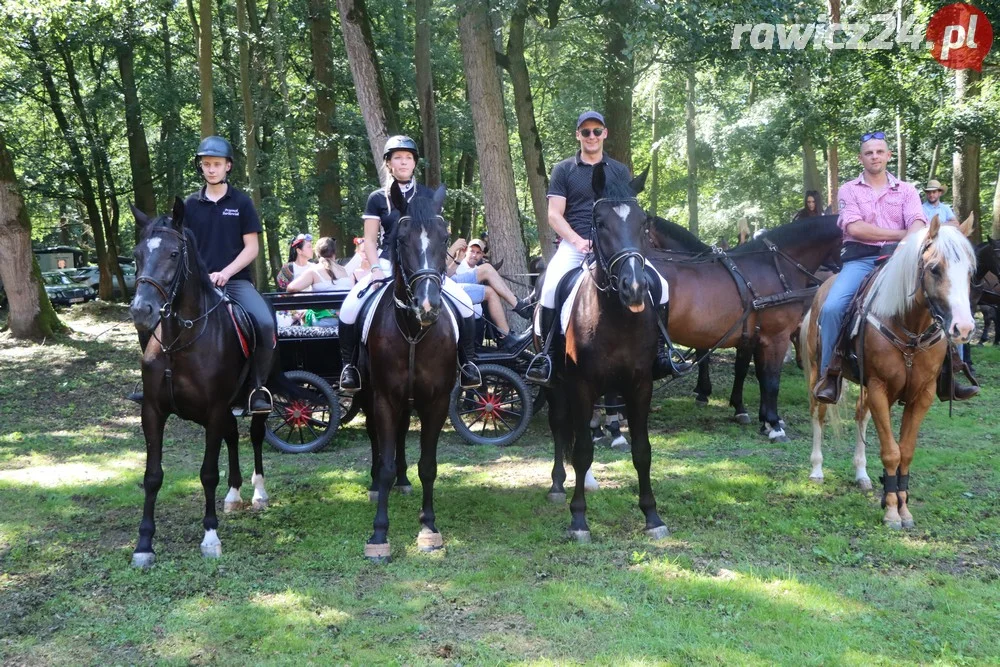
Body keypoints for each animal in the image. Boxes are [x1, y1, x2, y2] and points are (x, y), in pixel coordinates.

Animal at [127, 200, 282, 568]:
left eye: (173, 254)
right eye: (137, 254)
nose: (141, 311)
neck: (179, 341)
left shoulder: (213, 410)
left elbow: (208, 473)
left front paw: (210, 537)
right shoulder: (153, 412)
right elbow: (152, 476)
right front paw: (144, 544)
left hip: (253, 401)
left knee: (255, 436)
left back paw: (258, 493)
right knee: (232, 436)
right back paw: (234, 494)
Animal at [356, 185, 458, 560]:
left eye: (445, 238)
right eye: (401, 239)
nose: (428, 306)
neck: (413, 330)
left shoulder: (436, 400)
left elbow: (428, 465)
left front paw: (428, 529)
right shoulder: (385, 397)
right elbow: (384, 461)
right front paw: (378, 535)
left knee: (399, 436)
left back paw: (403, 481)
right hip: (367, 394)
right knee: (376, 436)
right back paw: (377, 484)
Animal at [544, 166, 668, 544]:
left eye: (643, 222)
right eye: (600, 223)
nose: (635, 288)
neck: (616, 316)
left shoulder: (640, 385)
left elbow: (642, 450)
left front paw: (652, 516)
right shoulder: (581, 385)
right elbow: (583, 450)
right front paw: (578, 520)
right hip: (556, 386)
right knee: (561, 427)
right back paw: (558, 486)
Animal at [648, 217, 844, 440]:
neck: (774, 267)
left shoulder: (755, 337)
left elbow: (757, 374)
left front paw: (762, 418)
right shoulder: (775, 337)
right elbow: (771, 380)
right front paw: (774, 424)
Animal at [804, 217, 976, 528]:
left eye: (969, 271)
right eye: (935, 269)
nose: (964, 328)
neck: (909, 328)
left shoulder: (922, 394)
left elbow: (905, 451)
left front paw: (902, 507)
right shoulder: (879, 388)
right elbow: (890, 451)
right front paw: (892, 511)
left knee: (860, 418)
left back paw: (861, 475)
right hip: (817, 373)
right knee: (818, 414)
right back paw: (817, 470)